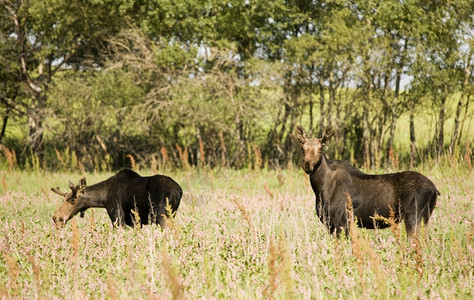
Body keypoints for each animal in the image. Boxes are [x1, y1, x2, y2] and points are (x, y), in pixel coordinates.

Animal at [51, 169, 181, 227]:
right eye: (63, 200)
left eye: (73, 200)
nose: (56, 218)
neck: (103, 199)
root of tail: (178, 191)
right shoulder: (135, 222)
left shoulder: (118, 218)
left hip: (162, 216)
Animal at [288, 125, 440, 239]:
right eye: (303, 148)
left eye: (320, 148)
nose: (307, 165)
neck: (321, 189)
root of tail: (434, 190)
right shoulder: (330, 224)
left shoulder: (341, 222)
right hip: (424, 218)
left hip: (414, 216)